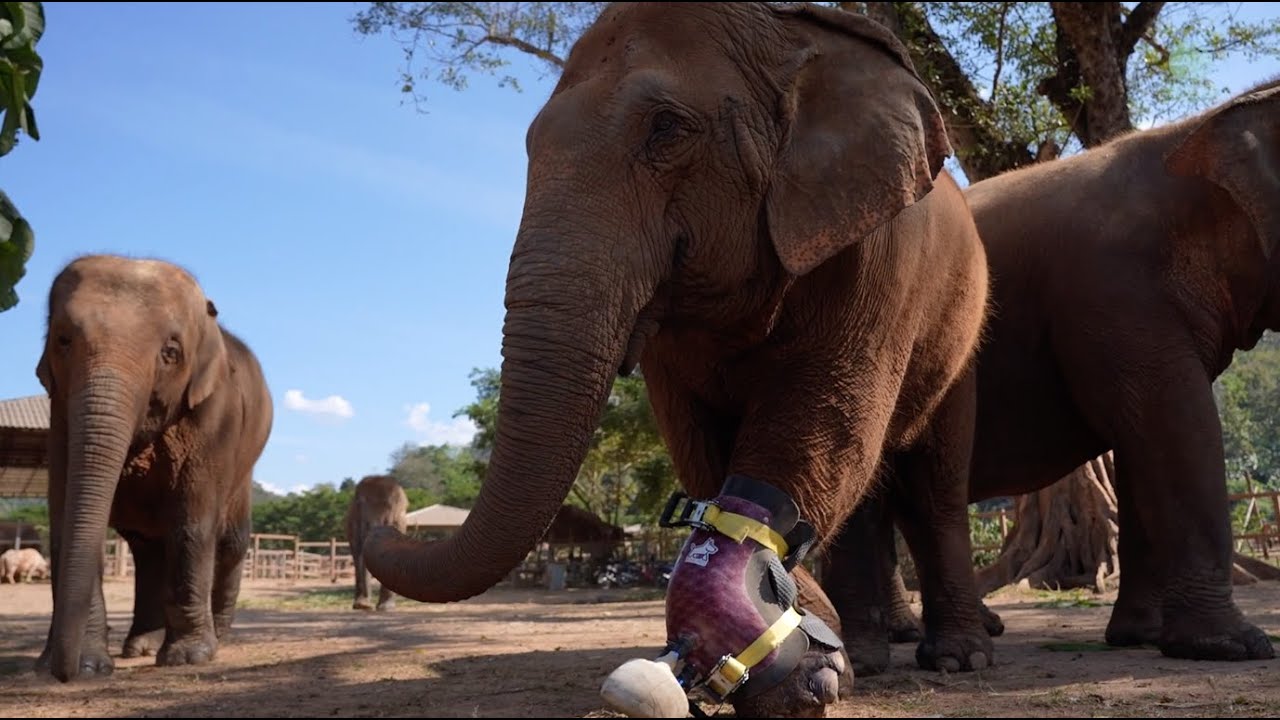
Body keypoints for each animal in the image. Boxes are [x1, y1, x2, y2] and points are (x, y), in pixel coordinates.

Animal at [34, 254, 273, 682]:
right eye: (62, 340)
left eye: (170, 352)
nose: (63, 673)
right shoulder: (59, 417)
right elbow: (68, 520)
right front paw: (89, 665)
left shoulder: (215, 416)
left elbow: (192, 525)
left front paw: (190, 657)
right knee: (147, 551)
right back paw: (140, 647)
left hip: (245, 465)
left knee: (229, 541)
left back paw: (219, 638)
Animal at [344, 475, 408, 611]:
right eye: (359, 504)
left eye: (389, 507)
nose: (366, 605)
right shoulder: (354, 521)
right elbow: (358, 550)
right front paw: (361, 605)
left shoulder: (398, 522)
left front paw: (386, 608)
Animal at [362, 3, 989, 716]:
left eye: (666, 128)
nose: (380, 528)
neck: (794, 30)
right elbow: (703, 448)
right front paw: (810, 660)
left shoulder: (880, 254)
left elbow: (819, 424)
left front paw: (792, 675)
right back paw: (873, 655)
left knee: (935, 485)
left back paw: (957, 658)